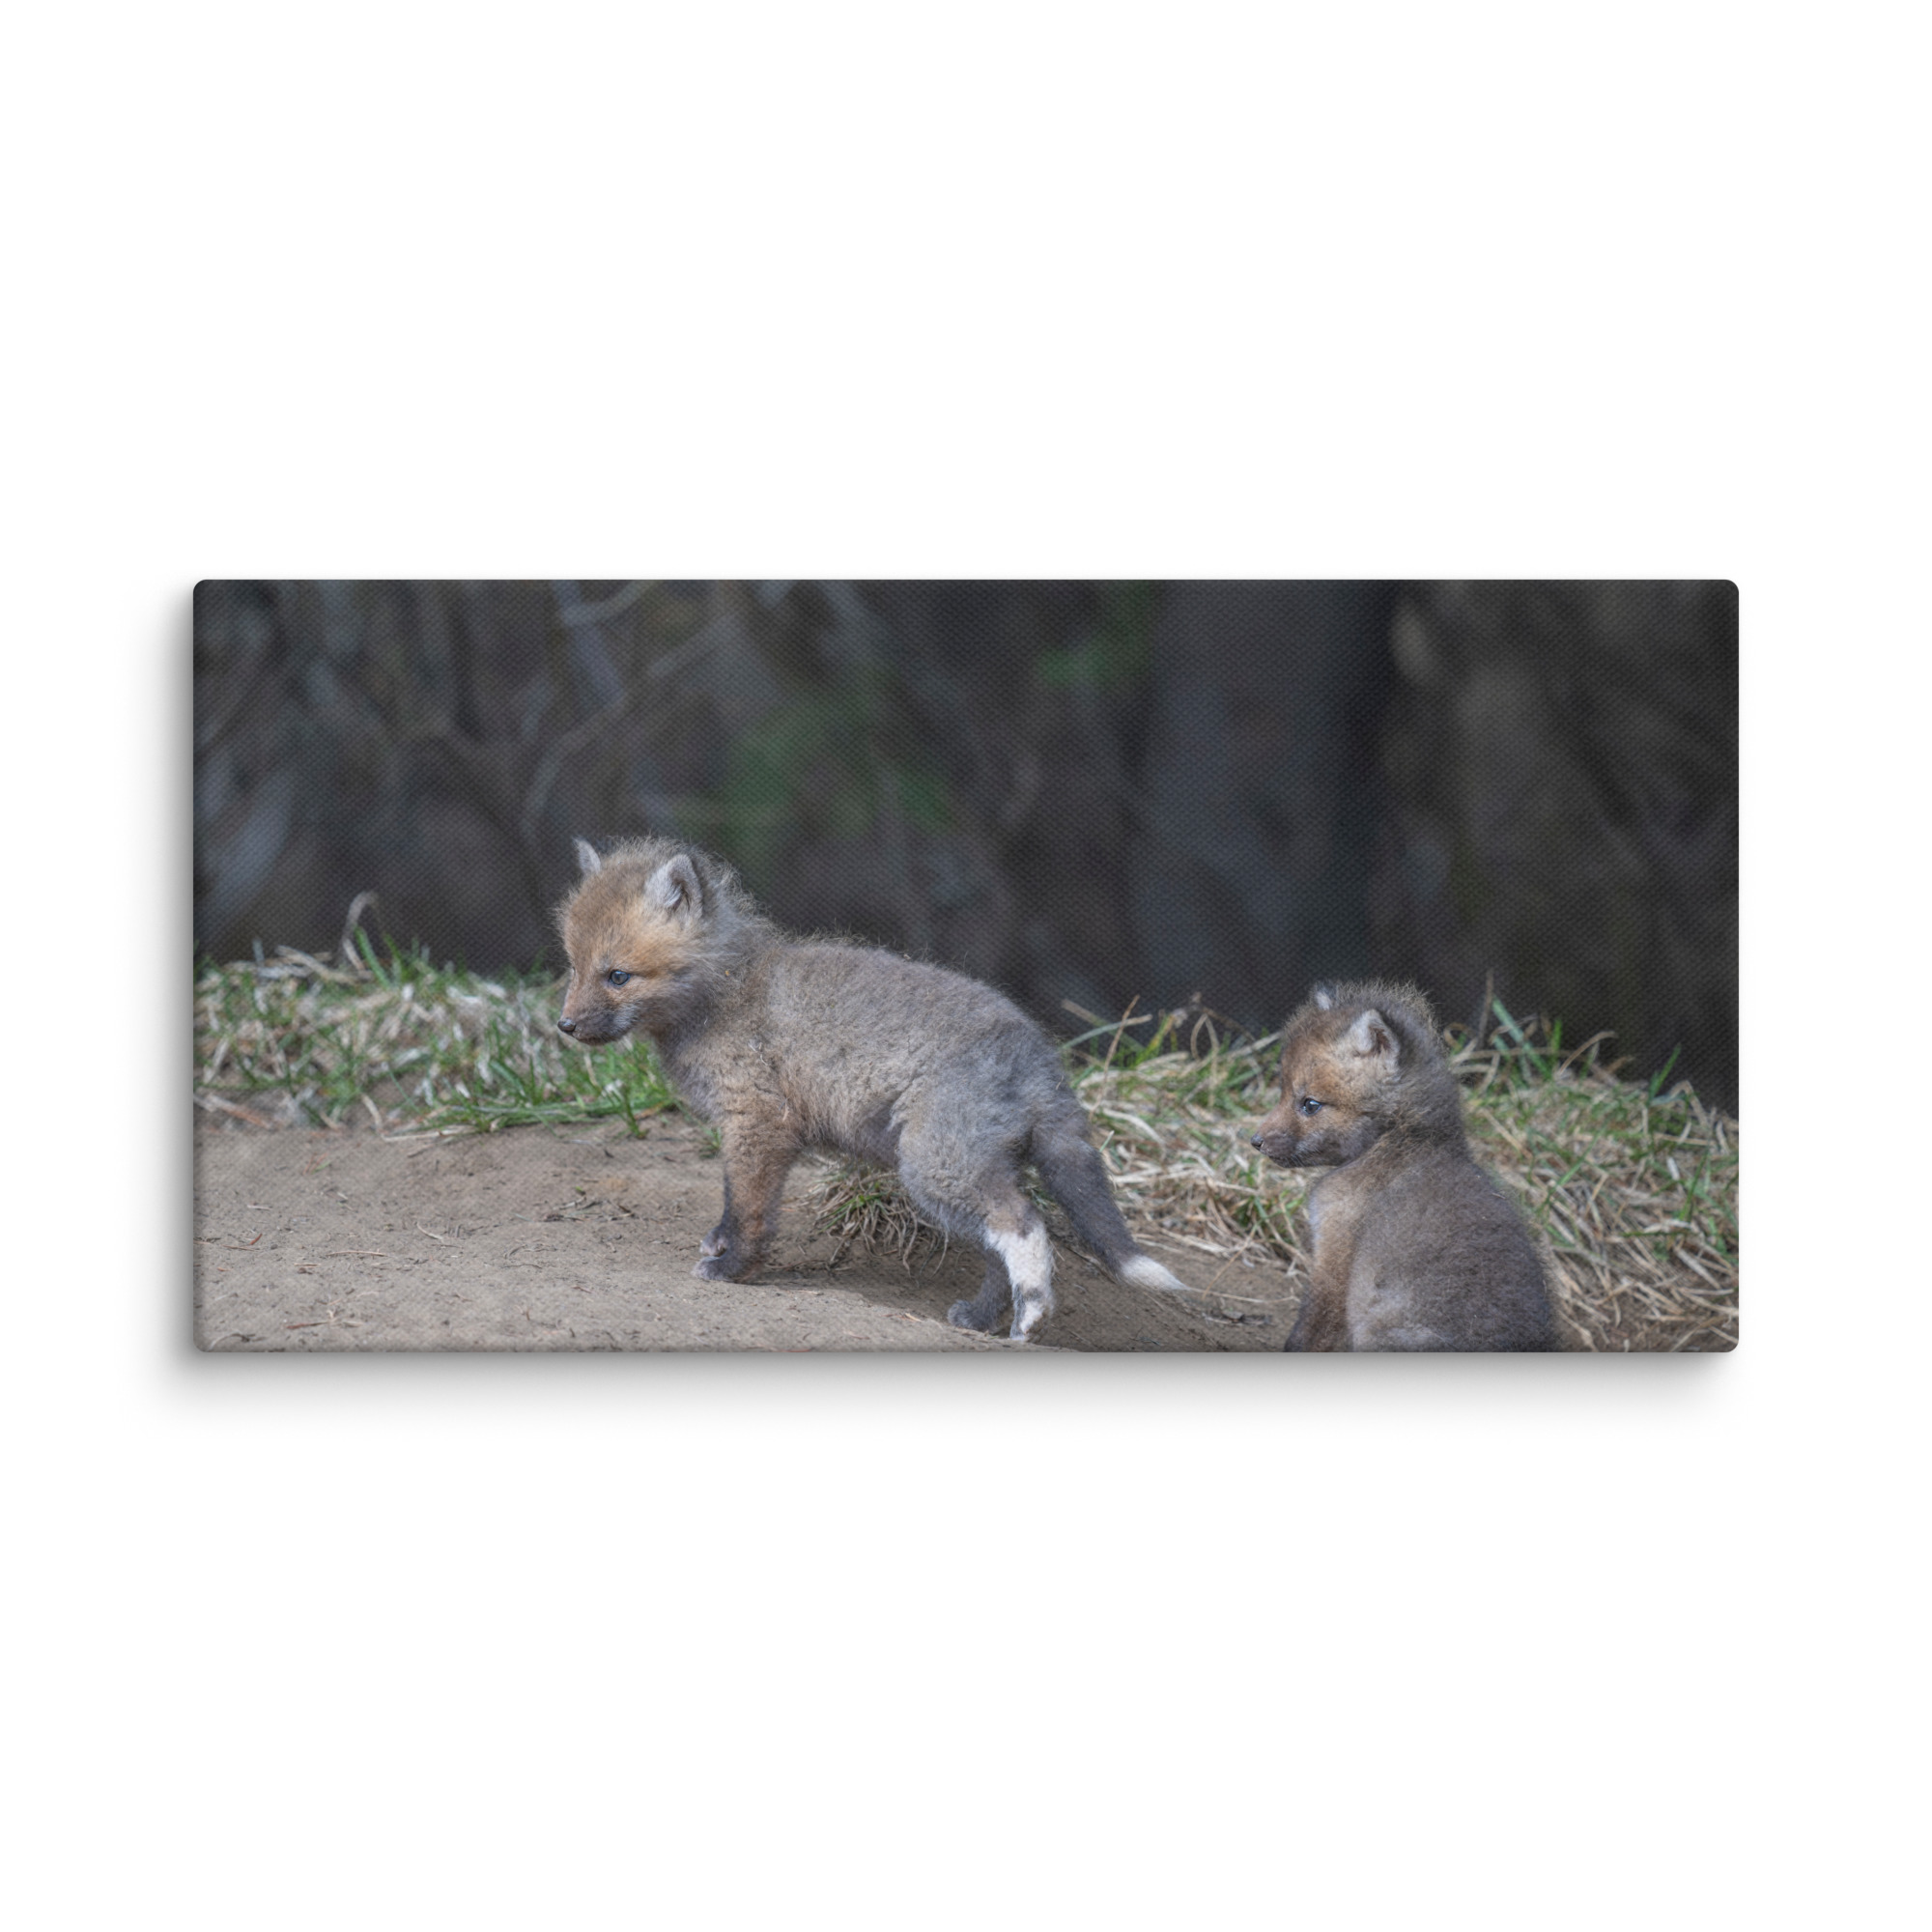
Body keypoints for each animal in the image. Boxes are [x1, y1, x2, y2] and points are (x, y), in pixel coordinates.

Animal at [555, 836, 1191, 1341]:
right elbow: (734, 1200)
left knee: (1025, 1225)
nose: (564, 1026)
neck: (724, 992)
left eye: (618, 976)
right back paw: (982, 1320)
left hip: (935, 1168)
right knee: (998, 1247)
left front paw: (734, 1268)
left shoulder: (758, 1122)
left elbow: (750, 1208)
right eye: (573, 968)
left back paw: (1031, 1319)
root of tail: (1040, 1056)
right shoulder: (753, 1130)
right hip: (965, 1171)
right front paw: (721, 1245)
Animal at [1251, 980, 1557, 1352]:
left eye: (1310, 1104)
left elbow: (1313, 1328)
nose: (1255, 1141)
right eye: (1283, 1091)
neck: (1398, 1141)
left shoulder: (1336, 1253)